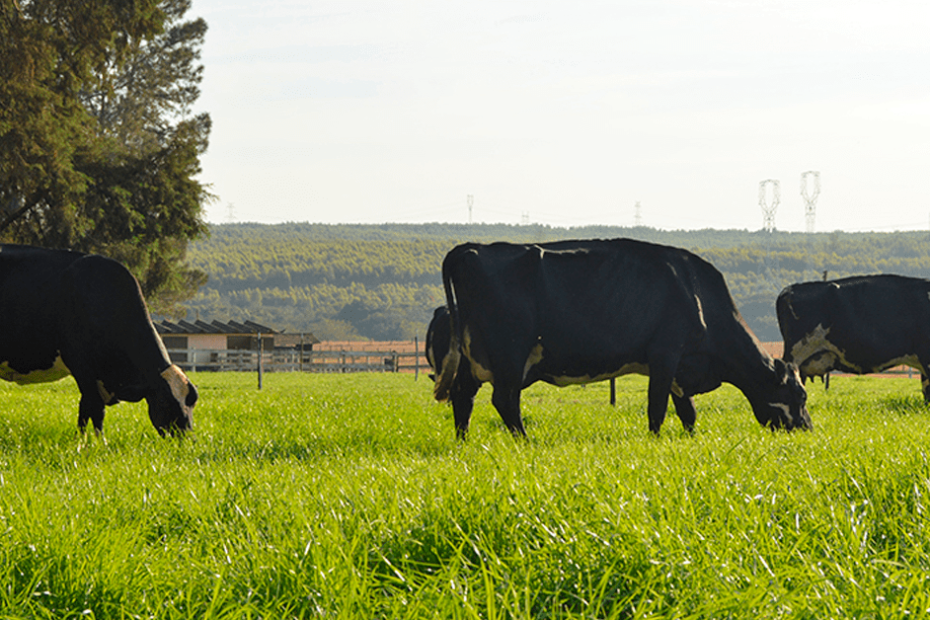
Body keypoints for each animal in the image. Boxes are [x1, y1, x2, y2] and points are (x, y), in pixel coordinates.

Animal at [0, 243, 196, 436]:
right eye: (163, 401)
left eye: (192, 402)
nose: (187, 437)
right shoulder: (81, 366)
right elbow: (95, 408)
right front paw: (99, 441)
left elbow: (84, 409)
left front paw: (82, 440)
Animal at [432, 237, 808, 436]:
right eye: (799, 396)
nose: (808, 428)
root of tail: (471, 248)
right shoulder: (665, 354)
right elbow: (657, 408)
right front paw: (656, 441)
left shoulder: (681, 366)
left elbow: (687, 411)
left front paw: (690, 439)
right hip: (510, 354)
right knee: (504, 400)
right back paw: (526, 442)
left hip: (473, 356)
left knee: (463, 397)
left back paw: (463, 443)